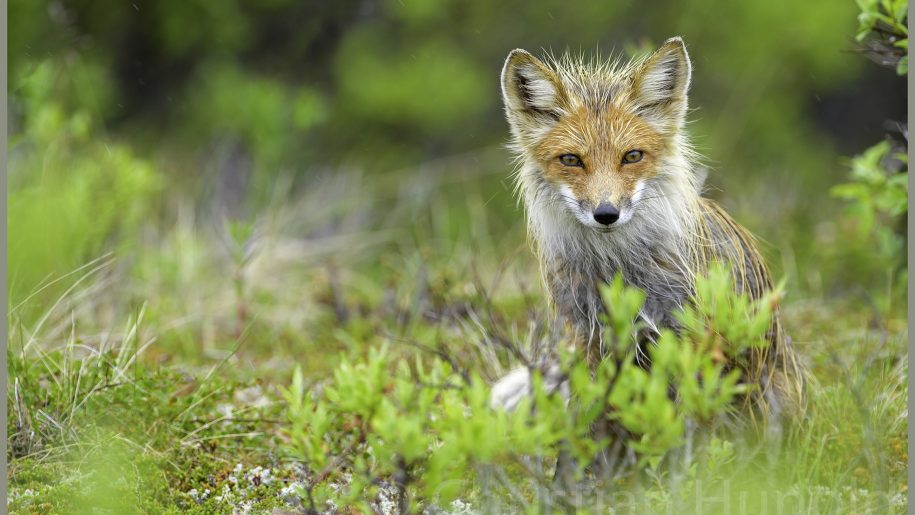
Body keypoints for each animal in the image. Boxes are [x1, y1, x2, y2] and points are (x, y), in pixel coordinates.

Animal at [494, 38, 800, 430]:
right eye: (571, 160)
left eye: (632, 156)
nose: (606, 214)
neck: (618, 271)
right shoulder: (586, 339)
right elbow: (594, 425)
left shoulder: (685, 339)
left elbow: (687, 425)